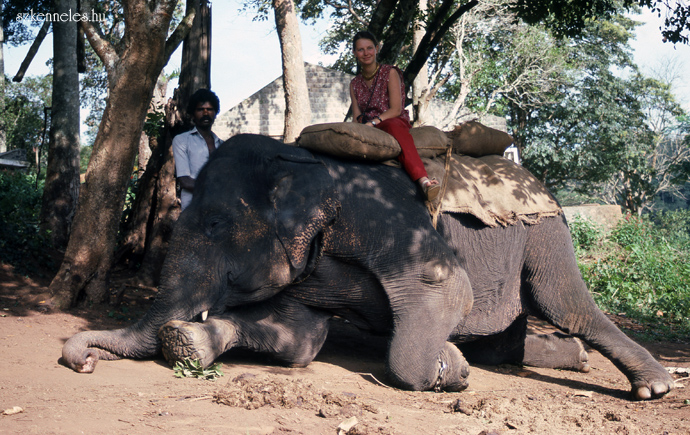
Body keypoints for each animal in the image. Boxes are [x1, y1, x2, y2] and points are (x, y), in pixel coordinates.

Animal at [61, 134, 676, 402]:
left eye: (213, 224)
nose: (79, 359)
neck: (298, 161)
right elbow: (299, 340)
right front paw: (187, 342)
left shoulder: (387, 221)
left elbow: (446, 288)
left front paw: (449, 371)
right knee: (504, 343)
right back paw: (569, 358)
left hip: (543, 229)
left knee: (564, 303)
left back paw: (655, 386)